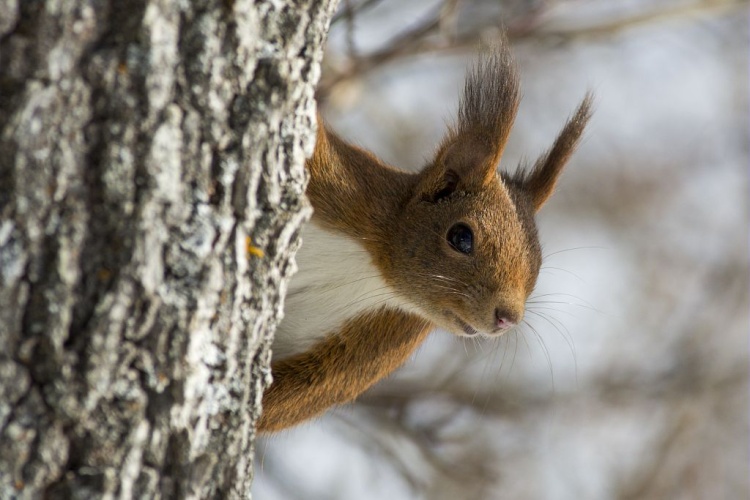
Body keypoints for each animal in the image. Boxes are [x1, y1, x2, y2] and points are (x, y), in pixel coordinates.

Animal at [260, 39, 592, 432]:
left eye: (538, 266)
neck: (374, 269)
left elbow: (298, 396)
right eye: (461, 237)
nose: (508, 317)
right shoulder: (341, 183)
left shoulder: (383, 339)